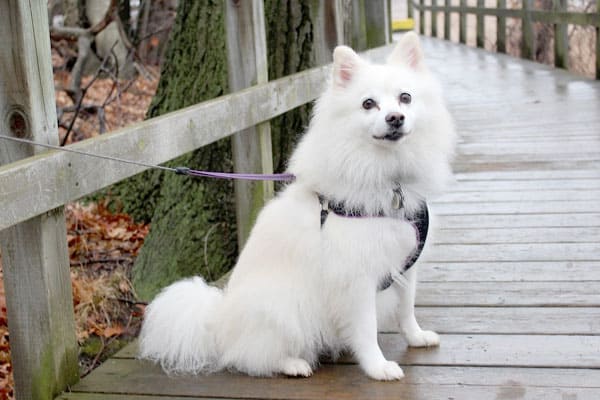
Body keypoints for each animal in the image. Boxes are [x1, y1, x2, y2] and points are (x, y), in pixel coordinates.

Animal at [139, 32, 454, 382]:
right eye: (368, 104)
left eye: (405, 98)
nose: (395, 118)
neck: (387, 176)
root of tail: (217, 325)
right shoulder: (356, 278)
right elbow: (367, 329)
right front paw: (378, 367)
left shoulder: (405, 263)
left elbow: (406, 309)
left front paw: (416, 337)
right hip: (281, 307)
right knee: (250, 357)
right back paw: (293, 364)